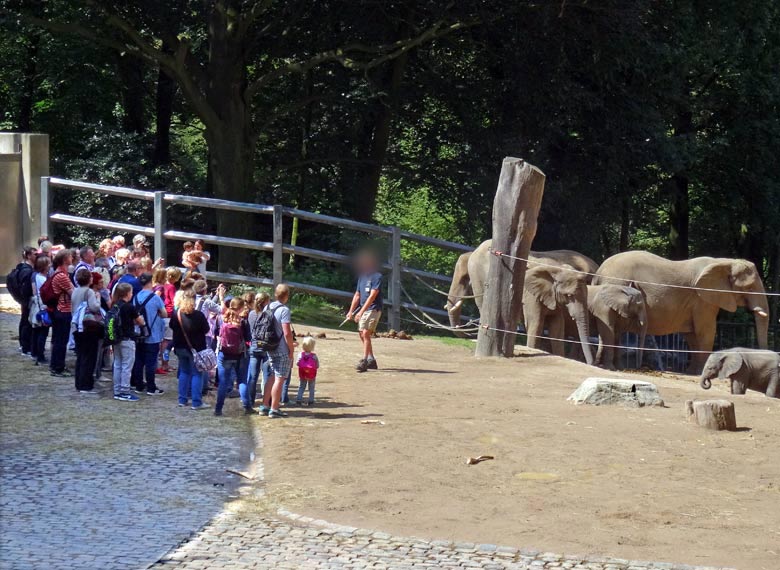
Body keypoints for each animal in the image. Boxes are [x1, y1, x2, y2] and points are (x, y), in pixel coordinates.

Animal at [444, 239, 596, 364]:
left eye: (464, 280)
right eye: (569, 295)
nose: (470, 335)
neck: (557, 270)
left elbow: (556, 326)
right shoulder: (532, 294)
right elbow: (538, 323)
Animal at [596, 250, 772, 372]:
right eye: (749, 288)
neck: (724, 262)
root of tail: (599, 271)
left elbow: (693, 335)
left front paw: (692, 372)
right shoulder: (703, 299)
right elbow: (706, 331)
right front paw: (701, 371)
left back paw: (609, 366)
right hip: (617, 284)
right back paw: (612, 367)